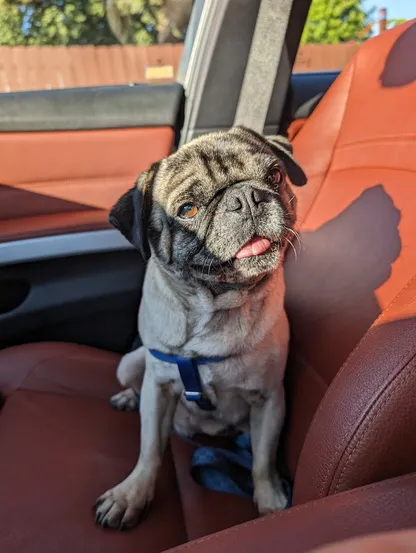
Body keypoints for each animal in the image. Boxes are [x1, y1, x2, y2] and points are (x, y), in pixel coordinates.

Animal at [94, 126, 306, 532]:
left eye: (274, 176)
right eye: (187, 210)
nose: (246, 197)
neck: (216, 308)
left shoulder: (270, 400)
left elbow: (263, 461)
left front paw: (270, 502)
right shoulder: (159, 388)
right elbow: (149, 451)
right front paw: (133, 495)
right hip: (130, 363)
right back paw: (128, 397)